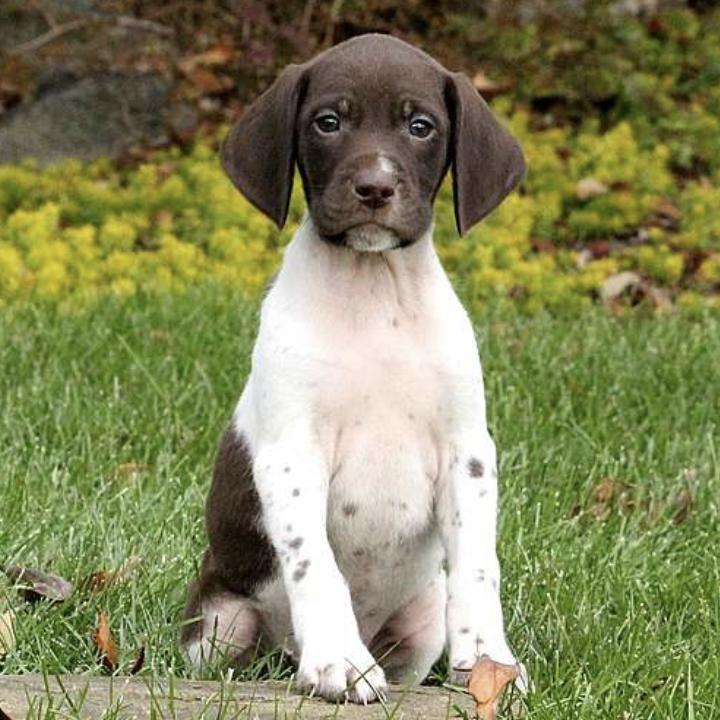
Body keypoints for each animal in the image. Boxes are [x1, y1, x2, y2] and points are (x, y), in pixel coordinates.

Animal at [183, 33, 524, 704]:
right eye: (328, 122)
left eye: (420, 126)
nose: (374, 188)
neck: (374, 292)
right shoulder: (292, 452)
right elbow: (314, 562)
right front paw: (339, 661)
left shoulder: (467, 453)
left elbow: (477, 567)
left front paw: (488, 663)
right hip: (216, 627)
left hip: (420, 626)